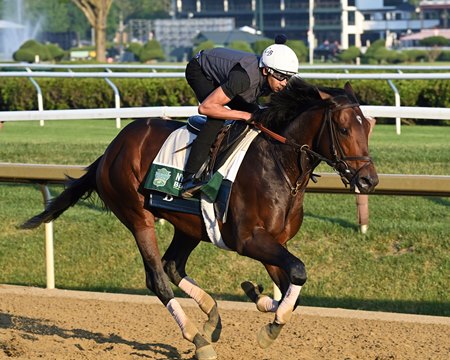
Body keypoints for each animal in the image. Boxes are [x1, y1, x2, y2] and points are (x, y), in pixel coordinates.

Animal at [22, 77, 380, 358]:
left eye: (368, 127)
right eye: (344, 129)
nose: (368, 180)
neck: (279, 164)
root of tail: (111, 150)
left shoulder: (274, 242)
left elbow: (292, 285)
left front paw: (260, 298)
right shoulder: (249, 239)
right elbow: (299, 272)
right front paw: (269, 325)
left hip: (189, 226)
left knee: (172, 265)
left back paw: (212, 320)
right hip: (138, 216)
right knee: (157, 278)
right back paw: (197, 338)